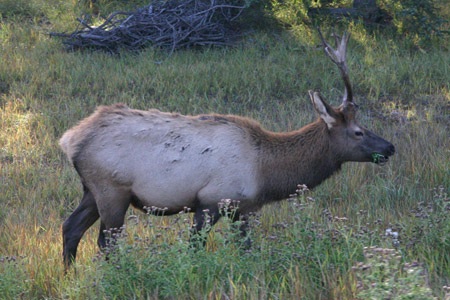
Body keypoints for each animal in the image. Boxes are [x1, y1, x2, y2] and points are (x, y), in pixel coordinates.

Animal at [59, 29, 394, 268]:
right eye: (358, 132)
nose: (390, 147)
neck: (266, 172)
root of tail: (70, 139)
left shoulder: (243, 209)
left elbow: (246, 250)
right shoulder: (211, 200)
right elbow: (194, 249)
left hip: (92, 190)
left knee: (70, 227)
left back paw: (68, 275)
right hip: (112, 190)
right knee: (106, 243)